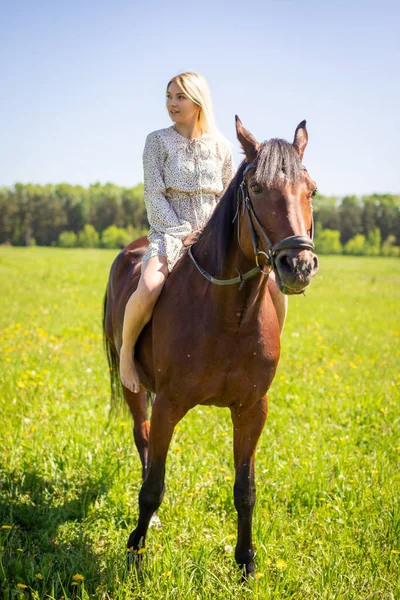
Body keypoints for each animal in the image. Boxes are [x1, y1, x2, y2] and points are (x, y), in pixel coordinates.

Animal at [102, 116, 318, 576]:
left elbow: (245, 489)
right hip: (133, 388)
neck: (229, 316)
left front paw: (246, 563)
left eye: (311, 189)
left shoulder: (252, 410)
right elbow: (153, 487)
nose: (299, 265)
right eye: (257, 188)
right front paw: (135, 554)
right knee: (141, 437)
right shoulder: (168, 405)